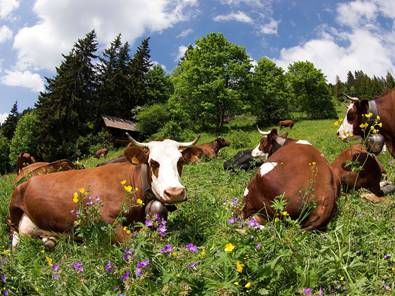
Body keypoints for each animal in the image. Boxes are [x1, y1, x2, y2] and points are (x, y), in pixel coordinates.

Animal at [8, 134, 201, 250]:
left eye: (180, 162)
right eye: (153, 162)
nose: (175, 192)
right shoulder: (102, 218)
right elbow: (130, 240)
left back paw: (50, 240)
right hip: (13, 207)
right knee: (15, 235)